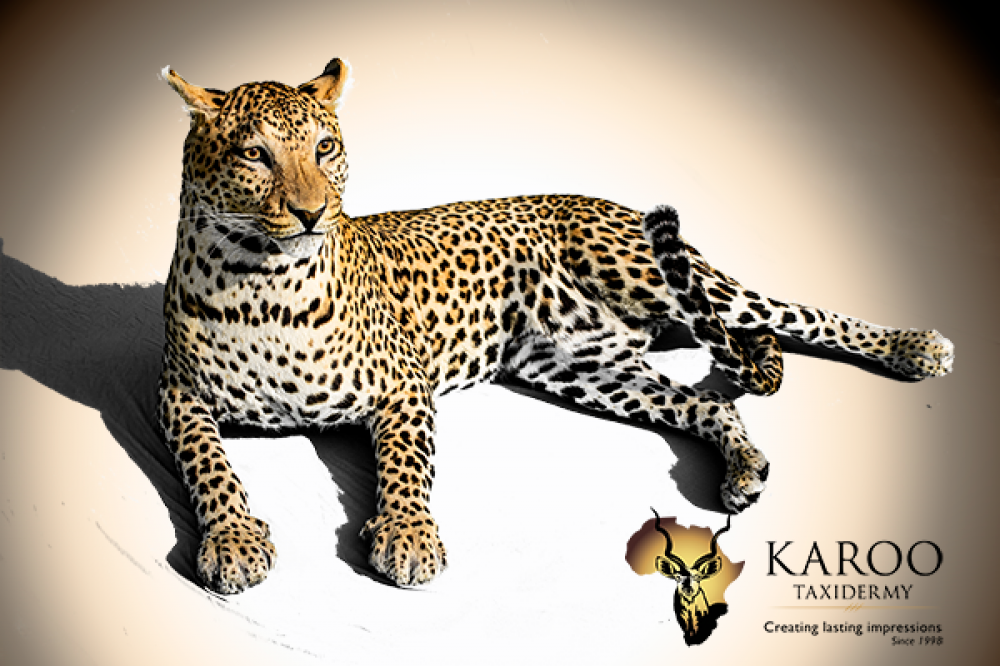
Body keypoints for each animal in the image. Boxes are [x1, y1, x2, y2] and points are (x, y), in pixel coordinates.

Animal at [158, 58, 954, 594]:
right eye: (255, 154)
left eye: (324, 147)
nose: (313, 211)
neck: (264, 283)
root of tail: (599, 200)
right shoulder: (178, 395)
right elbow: (210, 465)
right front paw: (233, 540)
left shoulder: (404, 387)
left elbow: (406, 468)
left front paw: (409, 537)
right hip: (588, 367)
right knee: (709, 400)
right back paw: (744, 466)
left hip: (649, 272)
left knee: (796, 313)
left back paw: (915, 347)